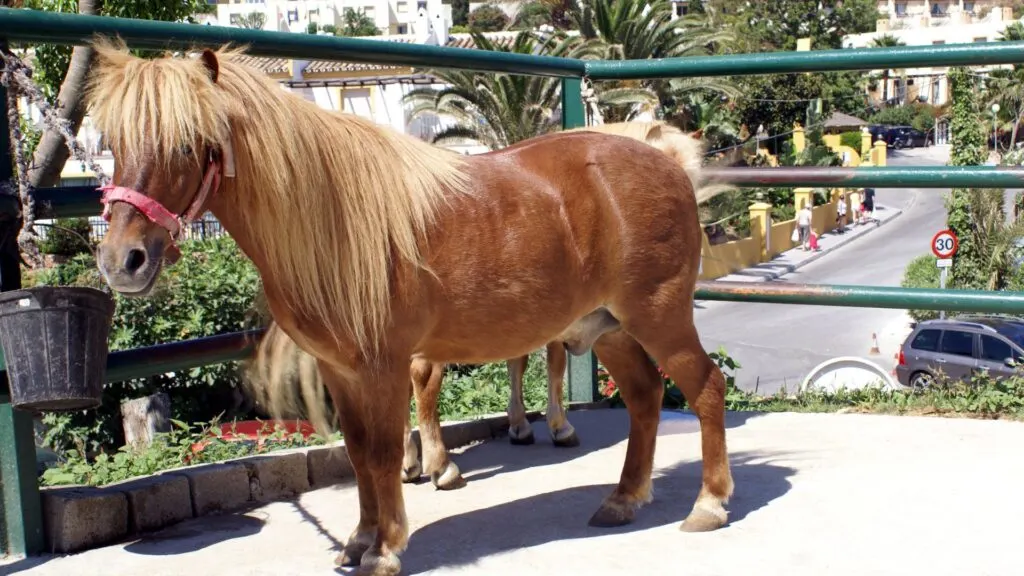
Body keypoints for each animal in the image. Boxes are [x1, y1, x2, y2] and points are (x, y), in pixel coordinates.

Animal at [86, 41, 729, 573]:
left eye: (187, 143)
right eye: (115, 143)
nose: (122, 261)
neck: (337, 224)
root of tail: (666, 161)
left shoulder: (383, 366)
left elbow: (383, 452)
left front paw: (386, 548)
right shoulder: (339, 371)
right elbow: (358, 453)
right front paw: (360, 539)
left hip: (659, 317)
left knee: (705, 388)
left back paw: (709, 504)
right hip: (611, 330)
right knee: (645, 398)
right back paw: (623, 499)